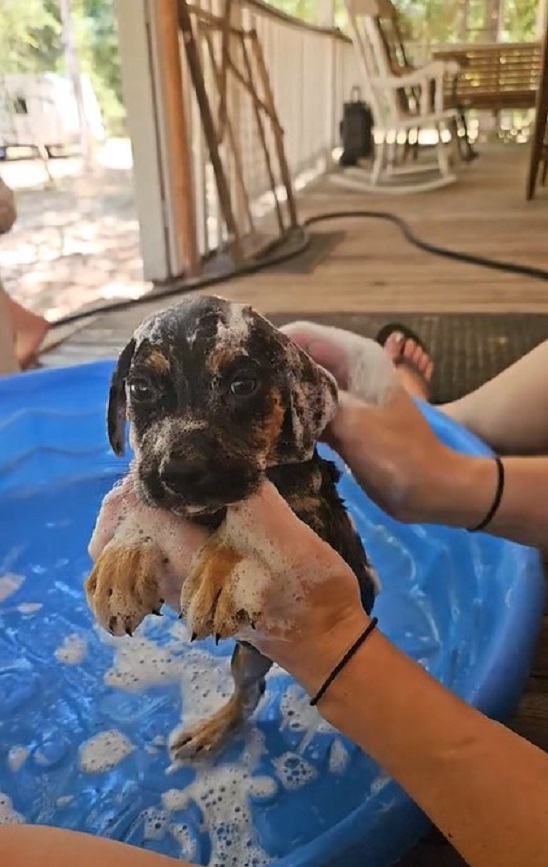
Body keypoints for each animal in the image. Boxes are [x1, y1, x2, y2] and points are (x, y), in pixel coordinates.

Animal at [85, 296, 378, 760]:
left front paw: (227, 567)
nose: (180, 473)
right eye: (141, 389)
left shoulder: (317, 511)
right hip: (247, 657)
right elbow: (147, 505)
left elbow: (256, 516)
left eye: (244, 385)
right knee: (247, 694)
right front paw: (124, 560)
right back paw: (213, 729)